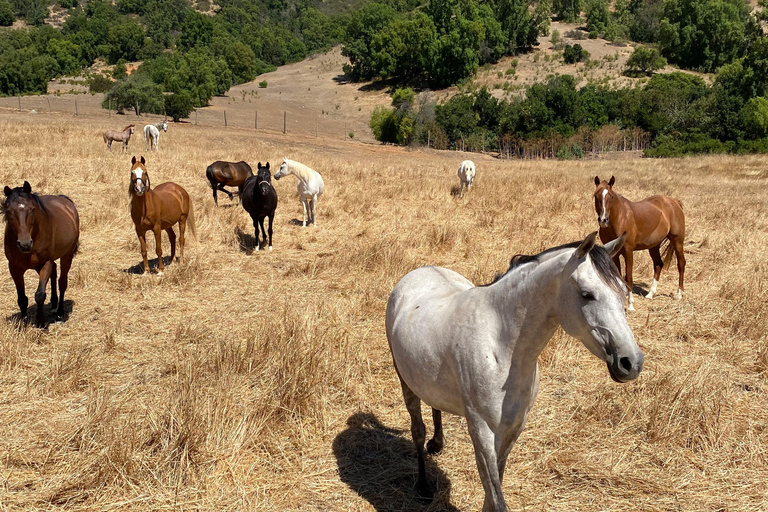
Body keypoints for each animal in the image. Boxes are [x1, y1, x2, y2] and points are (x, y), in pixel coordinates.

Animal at [2, 182, 79, 326]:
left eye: (32, 209)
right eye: (8, 211)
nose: (25, 244)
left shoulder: (45, 264)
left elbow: (40, 295)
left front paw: (41, 322)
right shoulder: (14, 267)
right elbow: (22, 297)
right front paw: (24, 321)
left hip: (67, 255)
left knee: (62, 282)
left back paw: (60, 313)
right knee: (54, 272)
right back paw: (53, 304)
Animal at [384, 233, 640, 512]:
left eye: (623, 292)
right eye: (587, 294)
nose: (632, 362)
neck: (501, 346)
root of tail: (419, 272)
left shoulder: (513, 427)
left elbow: (494, 489)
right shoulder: (482, 430)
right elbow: (496, 496)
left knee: (434, 404)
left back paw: (437, 444)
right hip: (405, 380)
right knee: (417, 430)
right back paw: (423, 487)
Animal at [592, 176, 684, 310]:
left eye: (611, 196)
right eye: (596, 196)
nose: (603, 220)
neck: (620, 218)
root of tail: (675, 202)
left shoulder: (628, 251)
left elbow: (628, 277)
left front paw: (630, 305)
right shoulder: (614, 253)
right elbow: (617, 276)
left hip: (677, 241)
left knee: (681, 263)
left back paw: (679, 294)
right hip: (654, 246)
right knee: (658, 264)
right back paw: (650, 294)